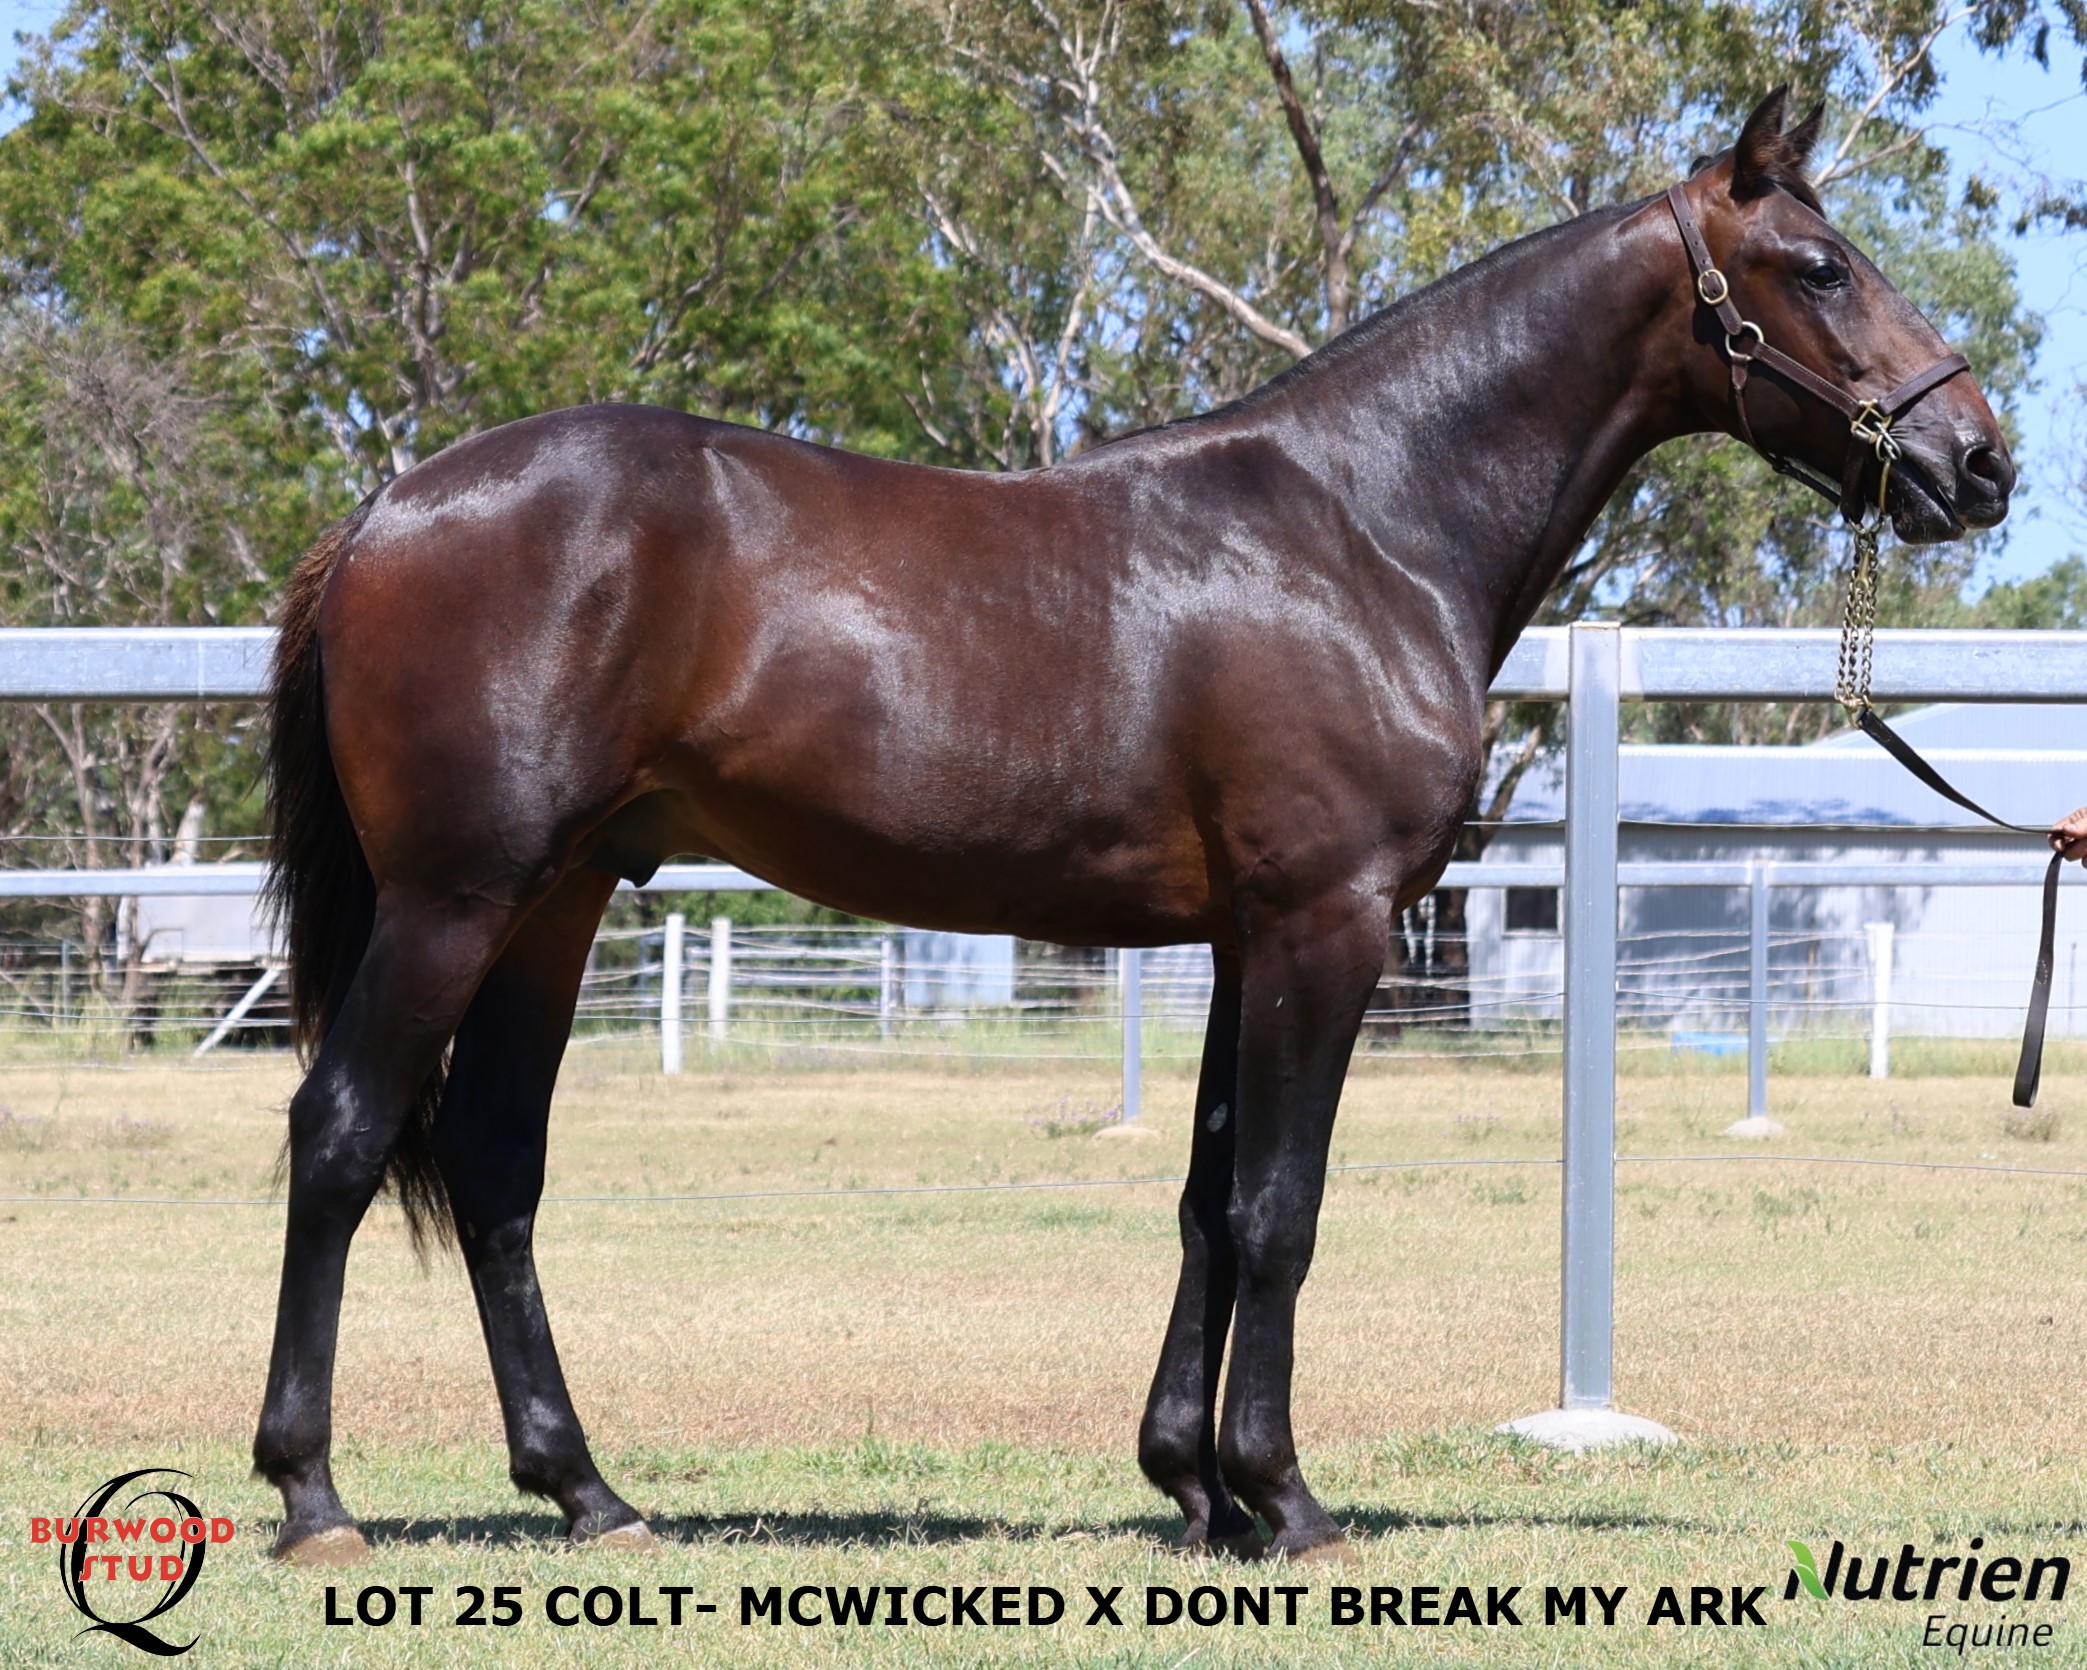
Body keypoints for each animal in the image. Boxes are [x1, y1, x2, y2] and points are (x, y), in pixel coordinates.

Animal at [253, 87, 2013, 1566]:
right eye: (1817, 265)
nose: (1977, 459)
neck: (1363, 524)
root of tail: (383, 509)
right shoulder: (1325, 921)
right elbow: (1280, 1210)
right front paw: (1285, 1501)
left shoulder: (1244, 937)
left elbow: (1205, 1202)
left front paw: (1191, 1485)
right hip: (453, 899)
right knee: (340, 1136)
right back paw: (314, 1495)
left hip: (555, 902)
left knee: (494, 1162)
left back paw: (589, 1491)